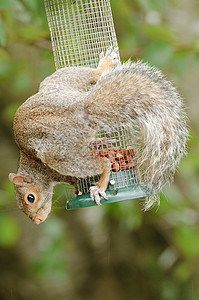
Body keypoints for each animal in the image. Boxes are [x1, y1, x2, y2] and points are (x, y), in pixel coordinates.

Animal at [8, 48, 187, 223]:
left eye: (30, 198)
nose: (37, 220)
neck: (34, 168)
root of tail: (80, 109)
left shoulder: (55, 171)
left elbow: (73, 179)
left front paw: (78, 189)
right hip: (56, 85)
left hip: (59, 156)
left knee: (103, 163)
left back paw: (100, 186)